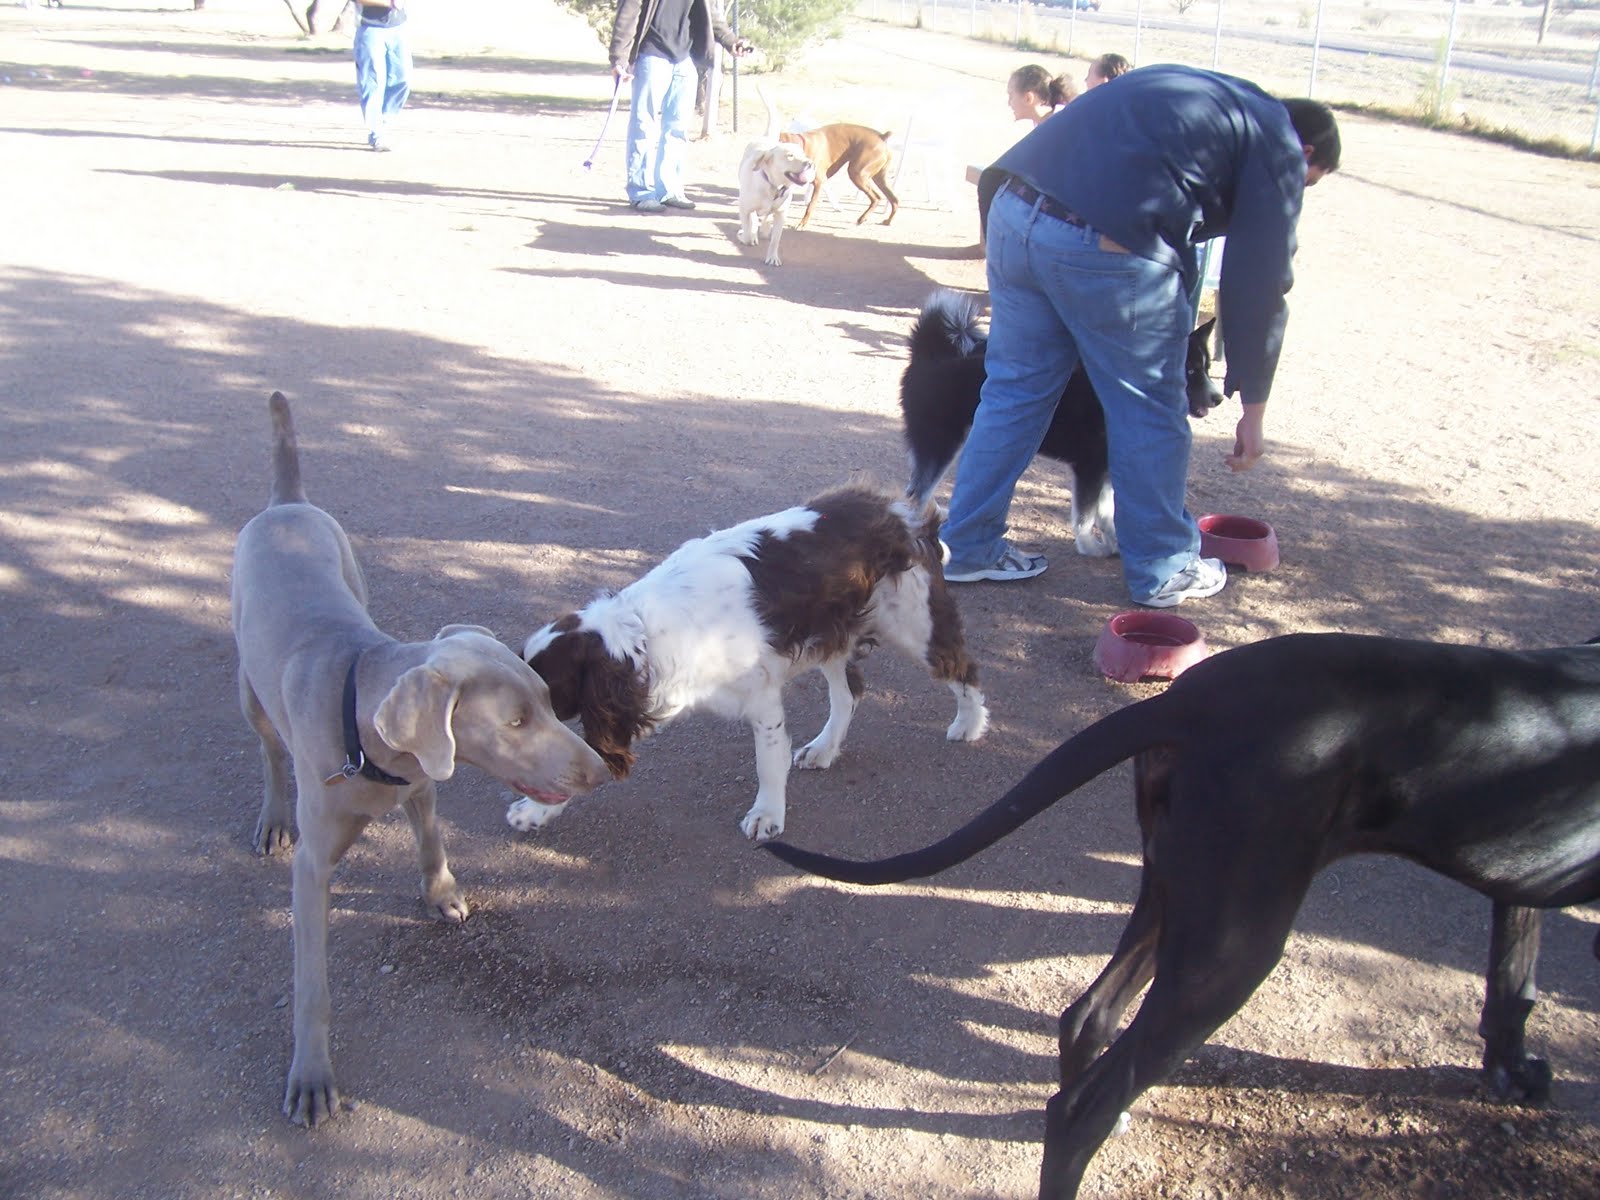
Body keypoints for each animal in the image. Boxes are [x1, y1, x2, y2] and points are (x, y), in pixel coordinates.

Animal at [232, 393, 609, 1126]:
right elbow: (312, 984)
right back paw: (271, 815)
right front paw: (312, 1077)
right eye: (517, 721)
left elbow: (432, 836)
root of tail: (286, 503)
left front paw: (442, 894)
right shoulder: (313, 870)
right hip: (249, 686)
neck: (362, 735)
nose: (601, 772)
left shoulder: (420, 781)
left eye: (550, 701)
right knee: (266, 748)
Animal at [510, 484, 989, 842]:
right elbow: (585, 760)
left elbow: (768, 762)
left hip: (914, 625)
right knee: (849, 693)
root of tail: (905, 513)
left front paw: (768, 815)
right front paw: (536, 811)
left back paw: (969, 725)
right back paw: (824, 748)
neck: (642, 630)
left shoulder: (761, 699)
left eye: (548, 693)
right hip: (831, 635)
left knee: (962, 669)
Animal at [765, 631, 1600, 1198]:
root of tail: (1183, 701)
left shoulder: (1519, 887)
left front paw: (1509, 1072)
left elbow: (1513, 986)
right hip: (1237, 943)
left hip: (1177, 890)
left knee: (1087, 1017)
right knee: (1077, 1109)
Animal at [901, 291, 1222, 556]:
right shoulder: (1090, 468)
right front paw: (1090, 547)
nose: (1218, 397)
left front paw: (1114, 543)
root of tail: (930, 355)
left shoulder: (1105, 471)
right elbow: (1085, 517)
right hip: (942, 442)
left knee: (917, 489)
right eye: (1188, 371)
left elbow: (1106, 513)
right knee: (917, 491)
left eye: (1207, 368)